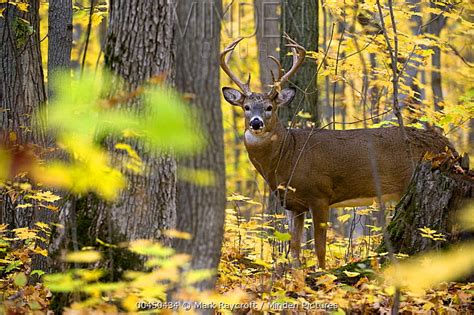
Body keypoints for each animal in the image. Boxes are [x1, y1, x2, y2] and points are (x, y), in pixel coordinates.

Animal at [220, 36, 454, 270]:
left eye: (270, 107)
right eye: (246, 107)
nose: (256, 123)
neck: (288, 155)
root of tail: (447, 145)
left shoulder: (320, 194)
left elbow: (320, 250)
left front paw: (322, 275)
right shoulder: (293, 204)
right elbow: (294, 251)